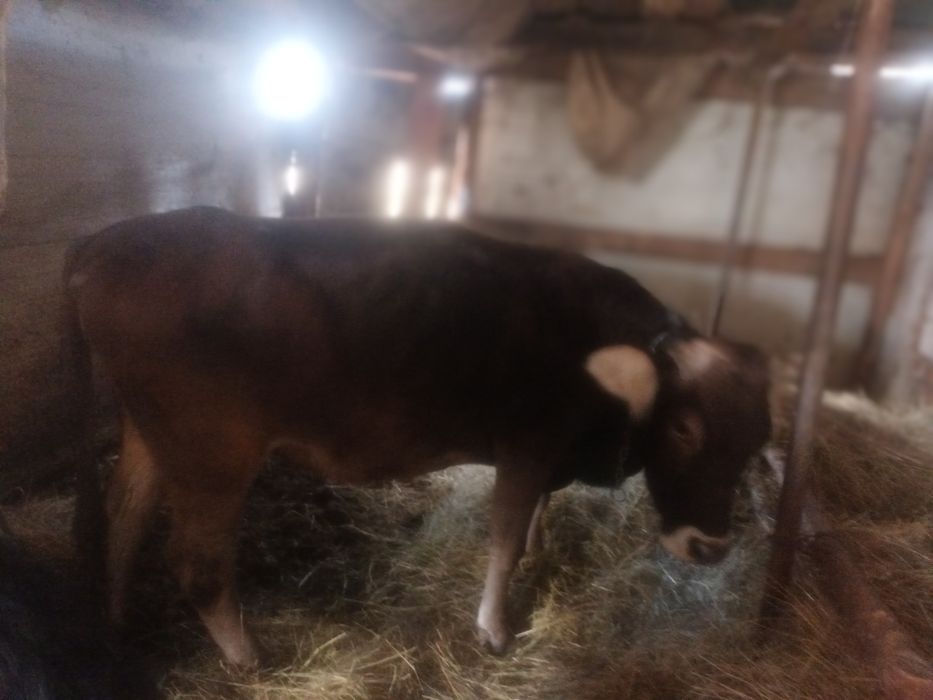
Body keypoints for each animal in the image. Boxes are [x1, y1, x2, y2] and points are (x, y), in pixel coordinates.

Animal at [64, 206, 771, 667]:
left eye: (758, 439)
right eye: (684, 427)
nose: (711, 547)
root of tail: (105, 243)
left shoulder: (549, 455)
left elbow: (535, 516)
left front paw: (539, 547)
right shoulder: (527, 445)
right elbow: (503, 539)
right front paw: (494, 629)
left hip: (149, 432)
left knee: (123, 518)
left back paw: (116, 624)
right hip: (212, 454)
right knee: (198, 564)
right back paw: (248, 658)